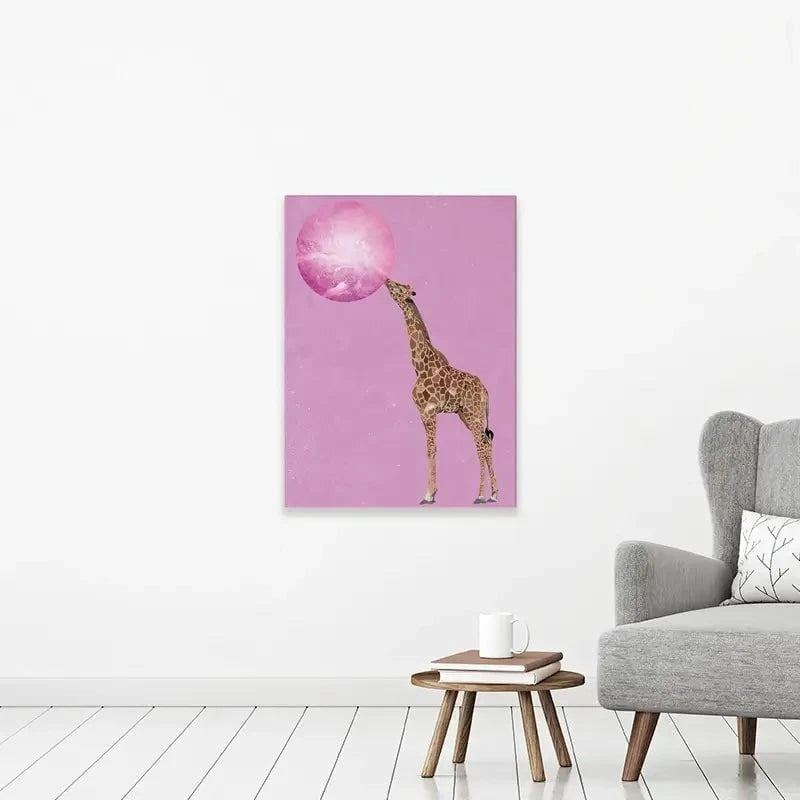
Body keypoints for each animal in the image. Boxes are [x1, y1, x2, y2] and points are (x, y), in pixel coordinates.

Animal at [385, 278, 498, 505]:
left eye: (400, 287)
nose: (386, 280)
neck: (419, 365)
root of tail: (486, 391)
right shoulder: (423, 413)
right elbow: (430, 448)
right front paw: (431, 493)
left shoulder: (429, 411)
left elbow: (432, 448)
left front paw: (428, 495)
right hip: (467, 415)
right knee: (486, 443)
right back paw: (494, 494)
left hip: (474, 415)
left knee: (480, 446)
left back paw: (481, 495)